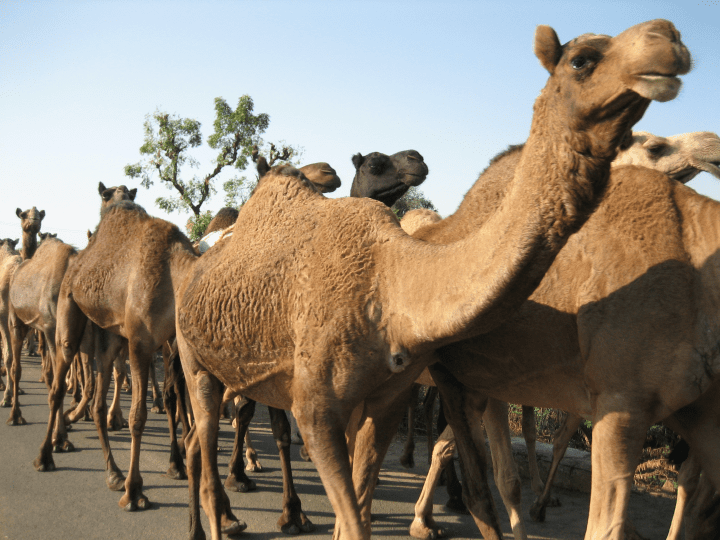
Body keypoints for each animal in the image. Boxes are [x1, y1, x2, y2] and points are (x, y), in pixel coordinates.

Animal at [171, 20, 689, 540]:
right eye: (582, 59)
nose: (669, 38)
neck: (392, 281)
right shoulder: (316, 406)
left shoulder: (389, 396)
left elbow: (366, 495)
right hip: (194, 359)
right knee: (209, 429)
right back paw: (231, 508)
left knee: (203, 438)